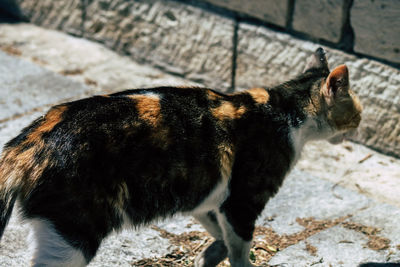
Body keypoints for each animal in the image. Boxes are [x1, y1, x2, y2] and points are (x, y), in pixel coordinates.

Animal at [0, 48, 360, 267]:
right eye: (358, 109)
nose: (359, 124)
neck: (282, 109)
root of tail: (26, 142)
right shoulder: (242, 202)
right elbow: (240, 247)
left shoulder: (207, 197)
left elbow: (219, 233)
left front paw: (209, 255)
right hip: (75, 232)